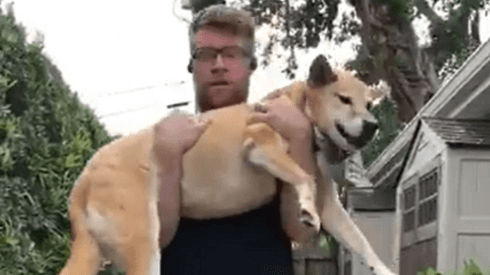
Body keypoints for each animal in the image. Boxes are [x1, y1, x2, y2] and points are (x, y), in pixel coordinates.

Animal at [58, 55, 394, 275]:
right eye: (344, 99)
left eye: (369, 104)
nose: (373, 126)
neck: (300, 107)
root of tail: (84, 178)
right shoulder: (260, 148)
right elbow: (304, 178)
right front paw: (307, 209)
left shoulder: (332, 208)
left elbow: (362, 242)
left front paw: (383, 268)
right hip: (144, 247)